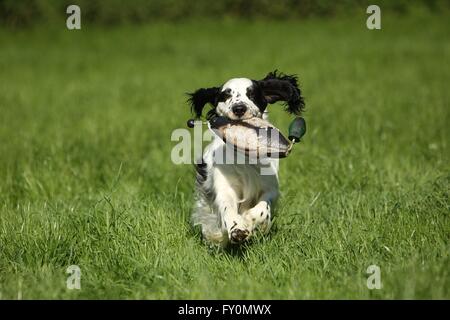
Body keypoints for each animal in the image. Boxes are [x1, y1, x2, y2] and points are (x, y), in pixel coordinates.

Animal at [186, 70, 306, 245]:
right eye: (226, 95)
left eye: (251, 94)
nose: (239, 108)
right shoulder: (225, 187)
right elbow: (228, 207)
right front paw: (237, 229)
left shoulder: (270, 188)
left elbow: (263, 207)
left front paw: (250, 220)